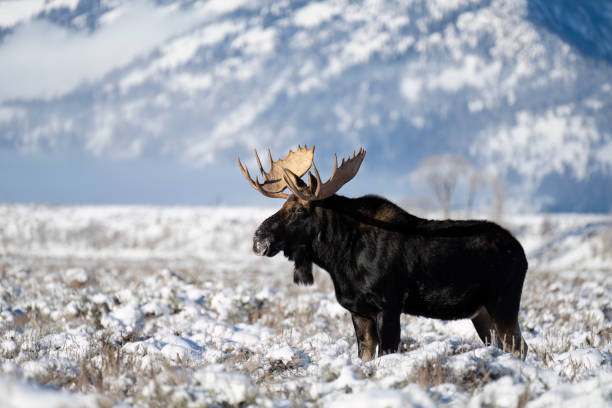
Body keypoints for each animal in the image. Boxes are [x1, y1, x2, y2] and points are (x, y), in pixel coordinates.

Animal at [237, 146, 528, 360]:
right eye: (282, 206)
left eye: (299, 210)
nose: (258, 239)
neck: (338, 261)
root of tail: (522, 254)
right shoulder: (359, 311)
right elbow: (365, 355)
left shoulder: (389, 304)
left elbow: (387, 353)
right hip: (481, 312)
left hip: (503, 302)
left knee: (518, 347)